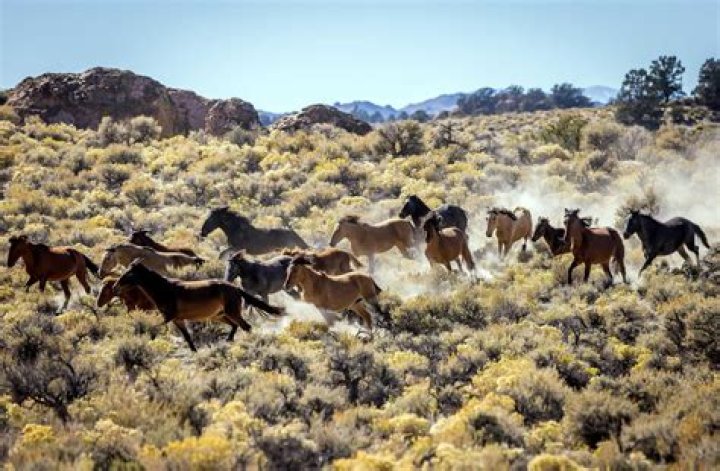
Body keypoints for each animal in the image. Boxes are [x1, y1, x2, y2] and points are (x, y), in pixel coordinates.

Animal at [114, 260, 284, 352]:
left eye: (129, 273)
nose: (115, 286)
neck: (164, 289)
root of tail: (235, 288)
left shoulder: (169, 317)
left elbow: (154, 327)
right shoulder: (177, 319)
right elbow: (187, 336)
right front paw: (194, 351)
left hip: (232, 312)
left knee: (246, 326)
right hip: (219, 316)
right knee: (235, 326)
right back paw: (228, 341)